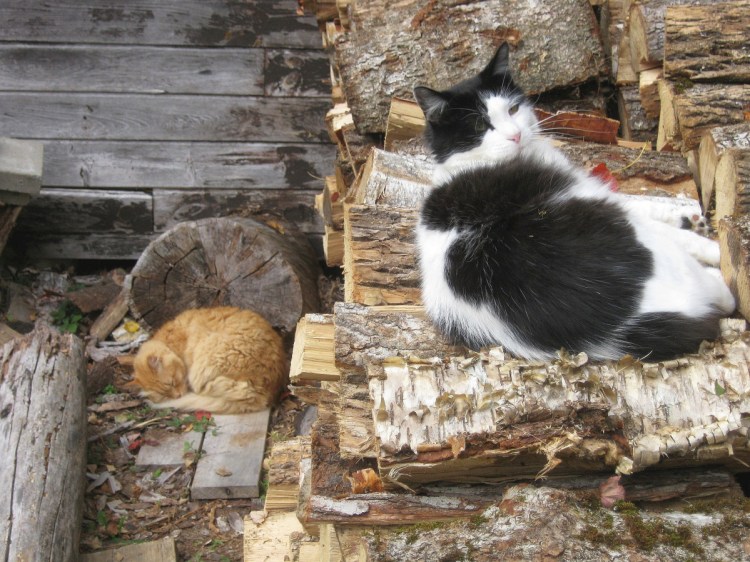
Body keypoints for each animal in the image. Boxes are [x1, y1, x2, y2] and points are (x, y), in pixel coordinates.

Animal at [412, 42, 736, 358]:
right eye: (480, 126)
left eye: (513, 109)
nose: (516, 135)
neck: (465, 163)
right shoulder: (587, 189)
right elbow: (642, 207)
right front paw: (705, 239)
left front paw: (689, 217)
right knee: (723, 296)